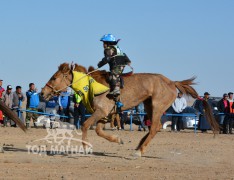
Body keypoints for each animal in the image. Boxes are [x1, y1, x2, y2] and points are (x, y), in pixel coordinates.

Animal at [40, 63, 219, 158]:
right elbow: (98, 130)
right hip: (148, 105)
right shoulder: (105, 115)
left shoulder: (101, 112)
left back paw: (139, 151)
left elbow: (84, 125)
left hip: (157, 106)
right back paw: (139, 146)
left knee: (154, 127)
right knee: (153, 128)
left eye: (54, 78)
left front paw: (86, 149)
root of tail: (172, 83)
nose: (42, 93)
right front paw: (118, 140)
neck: (92, 84)